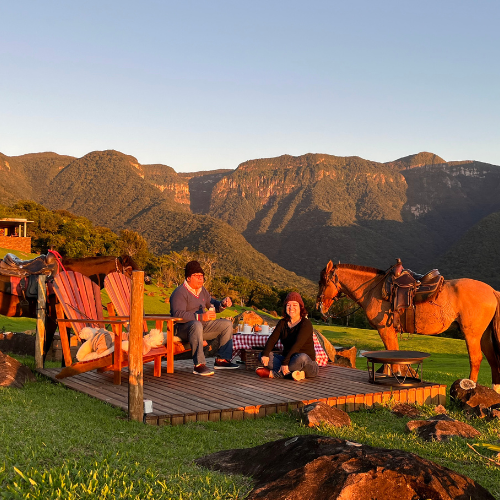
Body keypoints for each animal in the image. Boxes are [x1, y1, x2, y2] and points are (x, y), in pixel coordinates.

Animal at [316, 260, 500, 392]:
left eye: (323, 282)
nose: (319, 306)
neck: (374, 289)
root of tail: (492, 291)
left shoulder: (385, 329)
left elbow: (391, 355)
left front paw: (395, 377)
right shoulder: (389, 331)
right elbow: (391, 354)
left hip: (472, 334)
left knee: (476, 359)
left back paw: (470, 387)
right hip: (484, 336)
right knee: (493, 361)